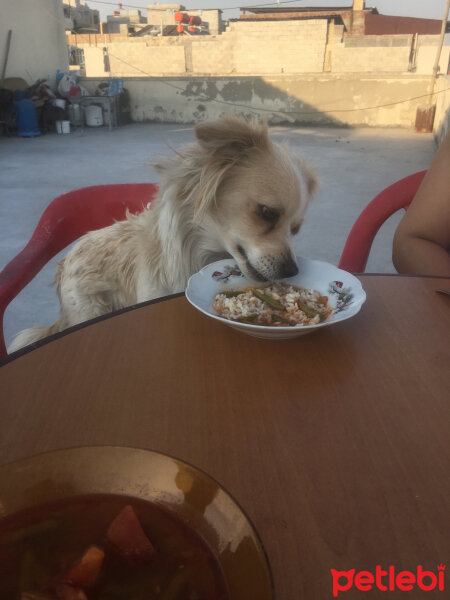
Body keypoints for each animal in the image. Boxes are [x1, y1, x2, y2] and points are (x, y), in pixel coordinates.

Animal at [9, 116, 316, 352]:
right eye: (267, 213)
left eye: (296, 228)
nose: (293, 270)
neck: (201, 255)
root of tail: (64, 262)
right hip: (88, 308)